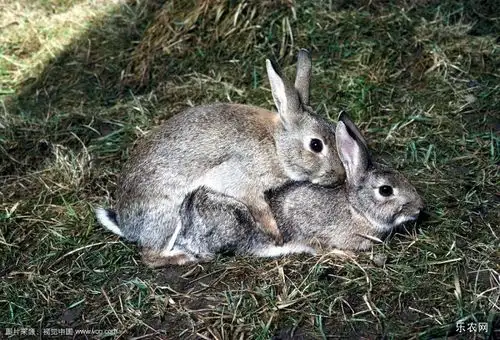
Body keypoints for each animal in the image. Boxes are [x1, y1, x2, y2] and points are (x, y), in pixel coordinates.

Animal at [96, 49, 348, 266]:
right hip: (167, 217)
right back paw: (182, 257)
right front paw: (276, 233)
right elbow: (261, 210)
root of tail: (126, 225)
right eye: (316, 145)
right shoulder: (243, 184)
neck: (276, 145)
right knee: (150, 255)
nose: (341, 176)